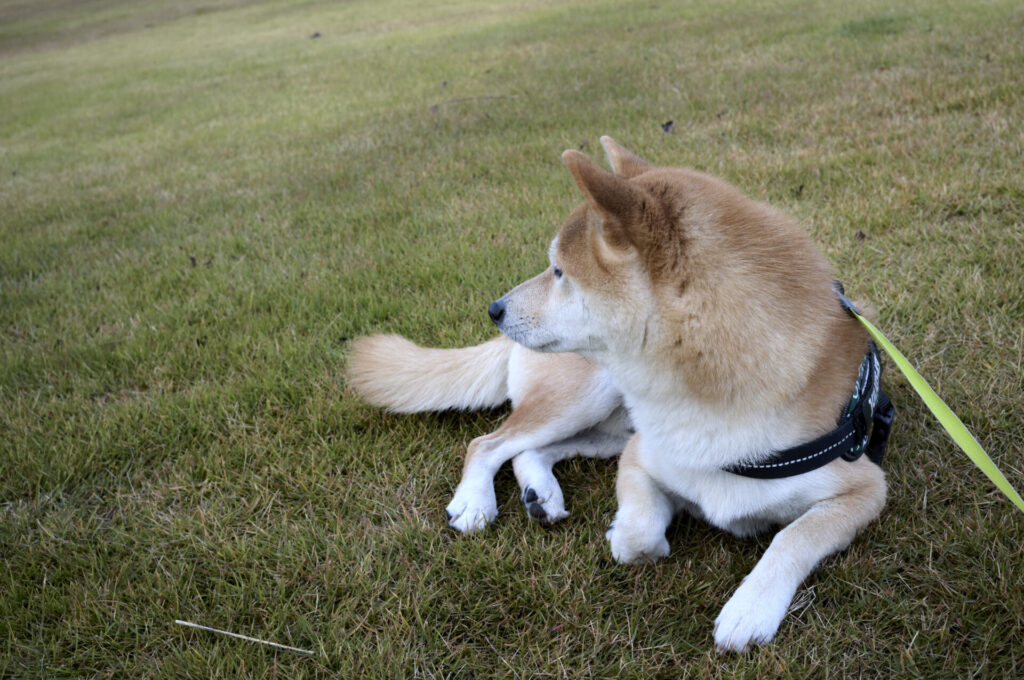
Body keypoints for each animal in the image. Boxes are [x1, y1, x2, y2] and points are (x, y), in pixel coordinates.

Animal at [346, 135, 888, 651]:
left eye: (559, 271)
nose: (494, 309)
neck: (710, 390)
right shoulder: (641, 455)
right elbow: (636, 534)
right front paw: (640, 533)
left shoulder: (864, 490)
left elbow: (793, 537)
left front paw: (750, 608)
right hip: (587, 398)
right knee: (488, 443)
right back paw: (476, 503)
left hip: (607, 425)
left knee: (529, 449)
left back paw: (540, 493)